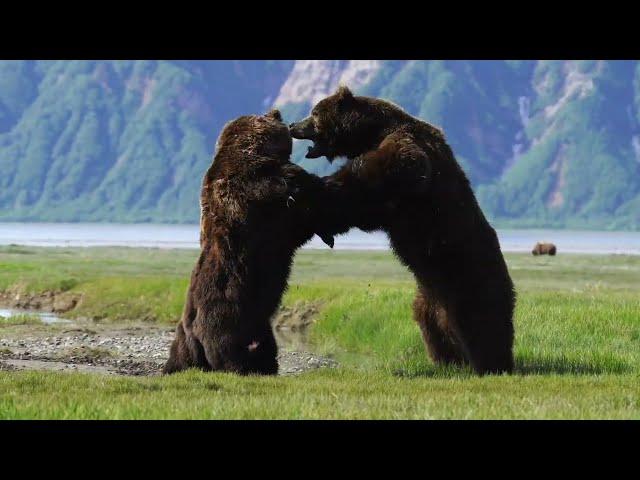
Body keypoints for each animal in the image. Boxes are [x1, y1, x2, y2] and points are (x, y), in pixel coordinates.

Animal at [164, 109, 336, 376]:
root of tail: (193, 333)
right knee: (228, 350)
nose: (285, 119)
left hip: (244, 327)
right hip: (227, 316)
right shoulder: (254, 194)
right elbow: (290, 204)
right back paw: (242, 368)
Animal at [290, 88, 516, 376]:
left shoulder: (407, 152)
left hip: (470, 277)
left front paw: (313, 187)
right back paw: (448, 361)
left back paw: (492, 365)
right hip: (428, 297)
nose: (292, 125)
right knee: (432, 326)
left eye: (314, 113)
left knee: (483, 323)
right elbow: (366, 209)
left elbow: (379, 176)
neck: (372, 131)